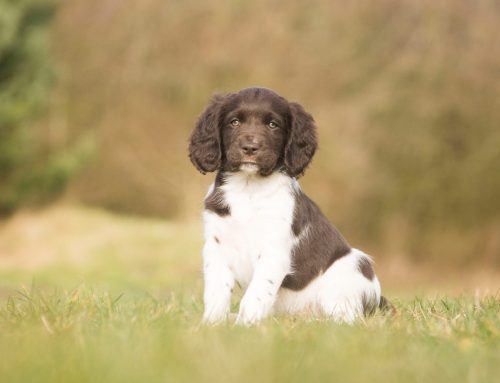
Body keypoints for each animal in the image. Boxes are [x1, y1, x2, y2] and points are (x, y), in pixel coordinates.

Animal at [190, 88, 382, 326]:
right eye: (234, 122)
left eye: (273, 125)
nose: (250, 148)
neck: (248, 189)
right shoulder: (216, 247)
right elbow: (217, 291)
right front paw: (211, 324)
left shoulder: (274, 251)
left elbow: (255, 294)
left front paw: (245, 326)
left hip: (350, 269)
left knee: (346, 319)